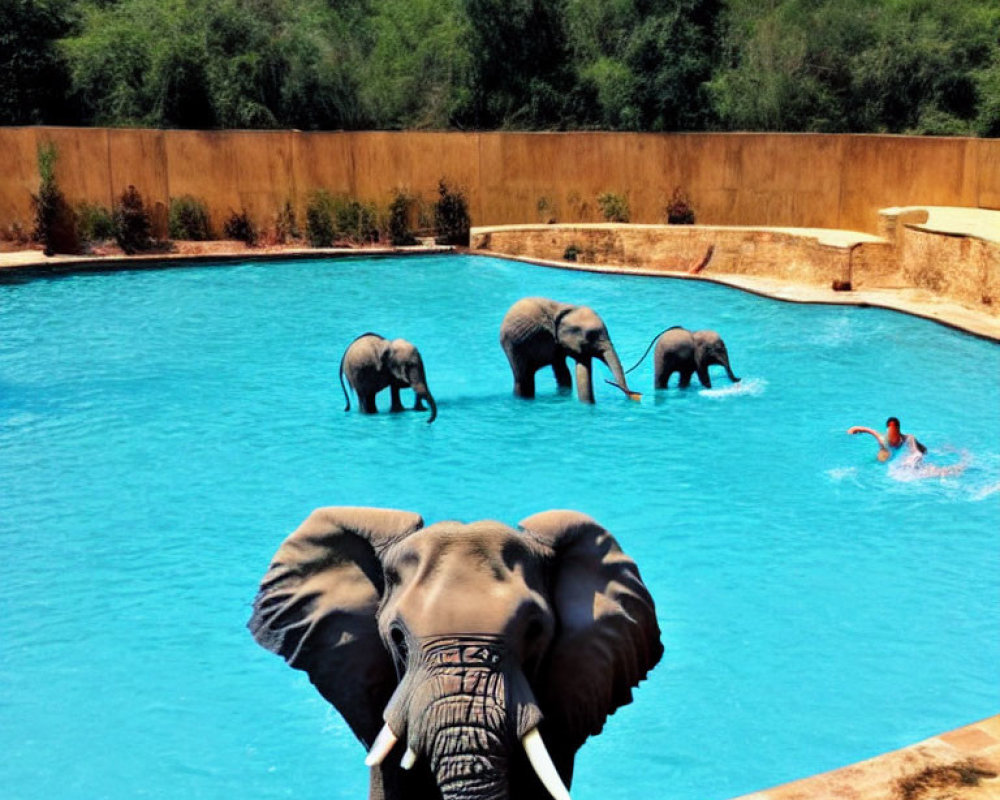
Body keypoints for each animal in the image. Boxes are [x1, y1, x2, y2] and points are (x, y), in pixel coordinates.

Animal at [500, 296, 640, 404]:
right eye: (591, 336)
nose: (636, 396)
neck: (571, 308)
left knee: (561, 371)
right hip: (513, 346)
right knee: (523, 378)